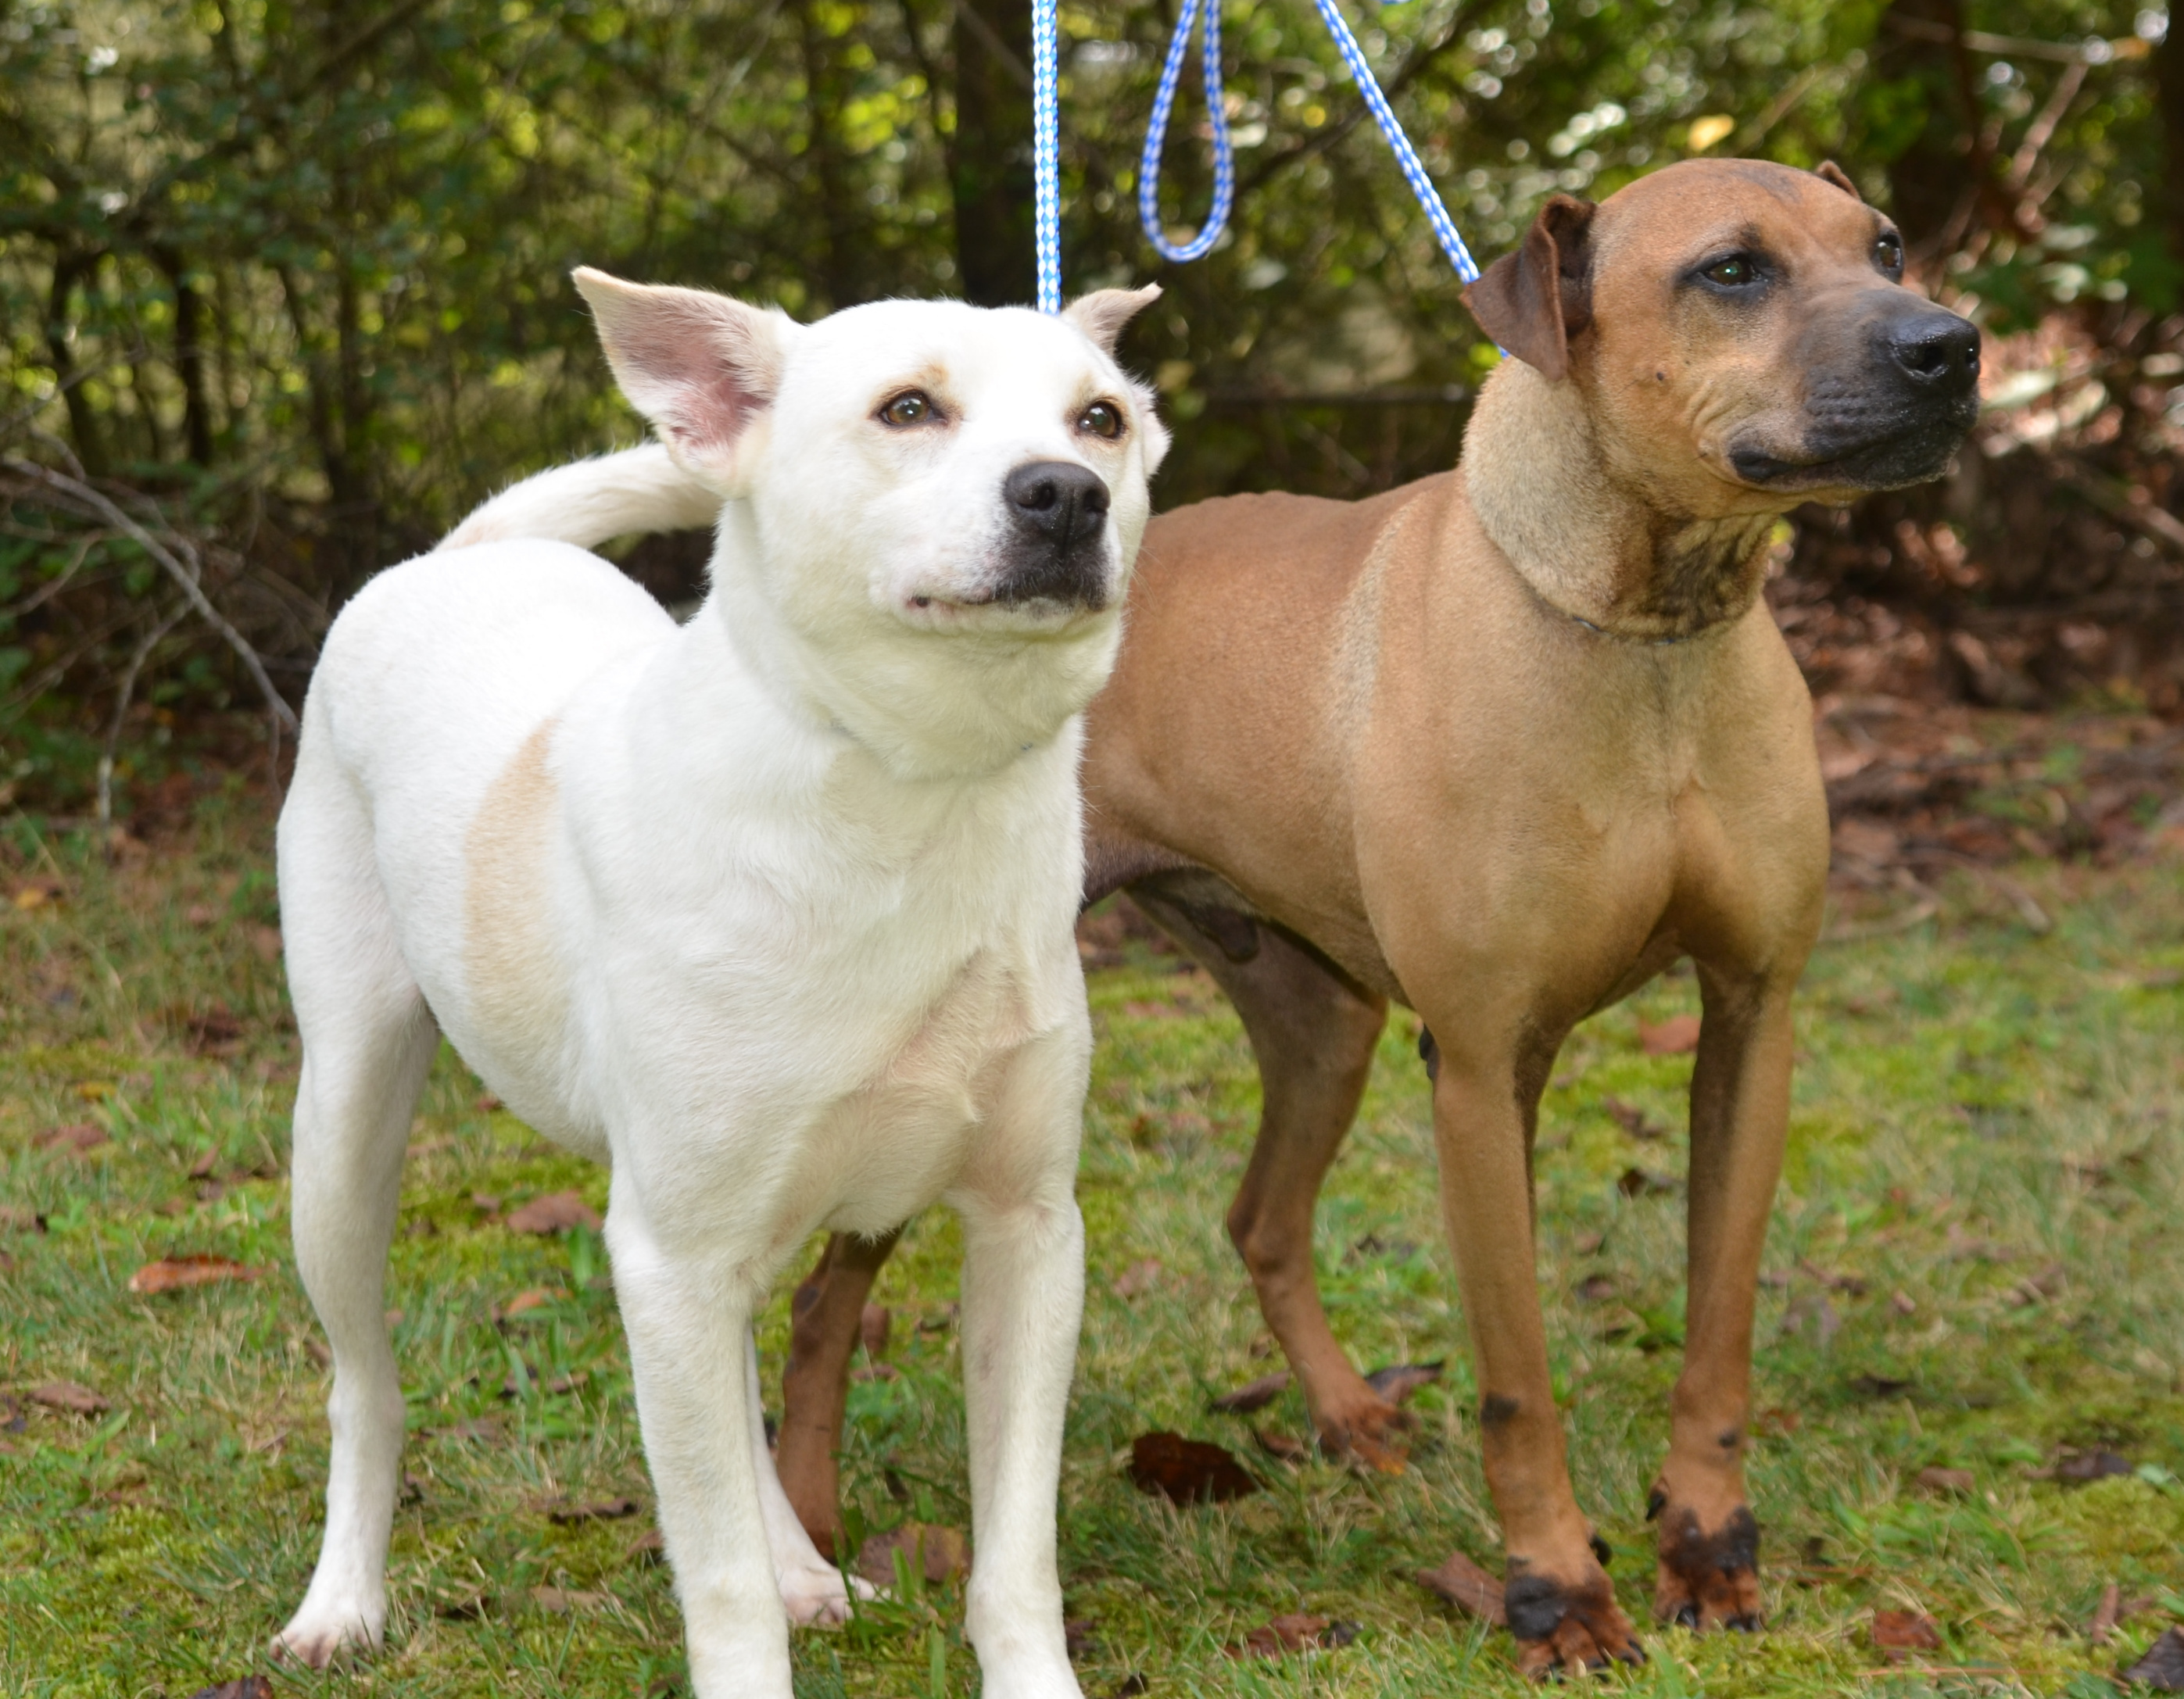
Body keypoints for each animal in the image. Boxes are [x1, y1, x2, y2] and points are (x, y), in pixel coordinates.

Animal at [273, 268, 1170, 1694]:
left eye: (1101, 419)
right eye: (906, 408)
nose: (1064, 494)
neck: (910, 790)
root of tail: (467, 550)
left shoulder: (1027, 1232)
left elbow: (1014, 1550)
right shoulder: (670, 1254)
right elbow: (720, 1581)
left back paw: (807, 1567)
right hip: (347, 1129)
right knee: (365, 1384)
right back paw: (342, 1600)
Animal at [768, 159, 1982, 1668]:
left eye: (1883, 246)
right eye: (1730, 271)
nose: (1950, 345)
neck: (1640, 630)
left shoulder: (1751, 1018)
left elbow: (1718, 1331)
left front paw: (1705, 1544)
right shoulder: (1478, 1065)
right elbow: (1518, 1377)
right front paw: (1554, 1587)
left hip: (1319, 1023)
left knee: (1258, 1219)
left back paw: (1347, 1418)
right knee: (824, 1299)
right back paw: (811, 1532)